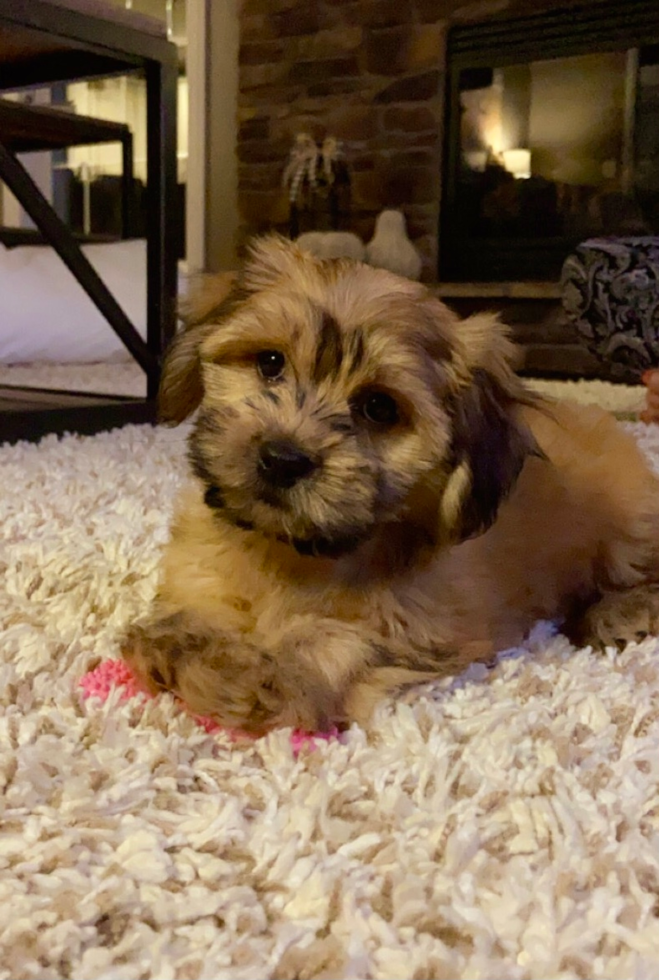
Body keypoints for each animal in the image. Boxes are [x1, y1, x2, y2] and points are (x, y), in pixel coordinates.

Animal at [121, 234, 659, 732]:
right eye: (270, 362)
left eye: (379, 407)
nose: (282, 459)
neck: (290, 553)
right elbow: (195, 598)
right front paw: (183, 639)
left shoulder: (425, 628)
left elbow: (340, 638)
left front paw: (256, 675)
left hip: (630, 519)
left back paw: (621, 612)